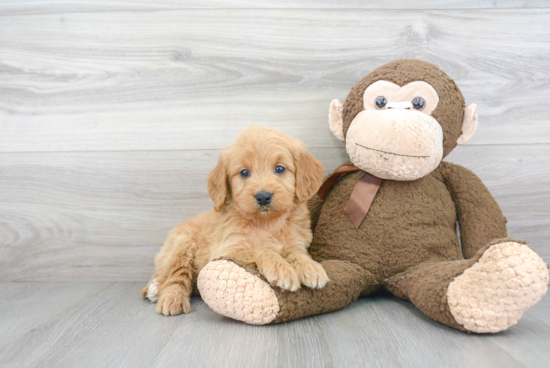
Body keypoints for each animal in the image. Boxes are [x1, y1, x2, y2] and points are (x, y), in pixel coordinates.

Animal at [144, 125, 330, 314]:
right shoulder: (226, 249)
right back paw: (170, 297)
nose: (263, 197)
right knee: (176, 277)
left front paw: (310, 267)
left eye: (280, 169)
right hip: (182, 244)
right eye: (244, 173)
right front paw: (280, 267)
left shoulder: (297, 243)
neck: (267, 224)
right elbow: (259, 249)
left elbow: (295, 253)